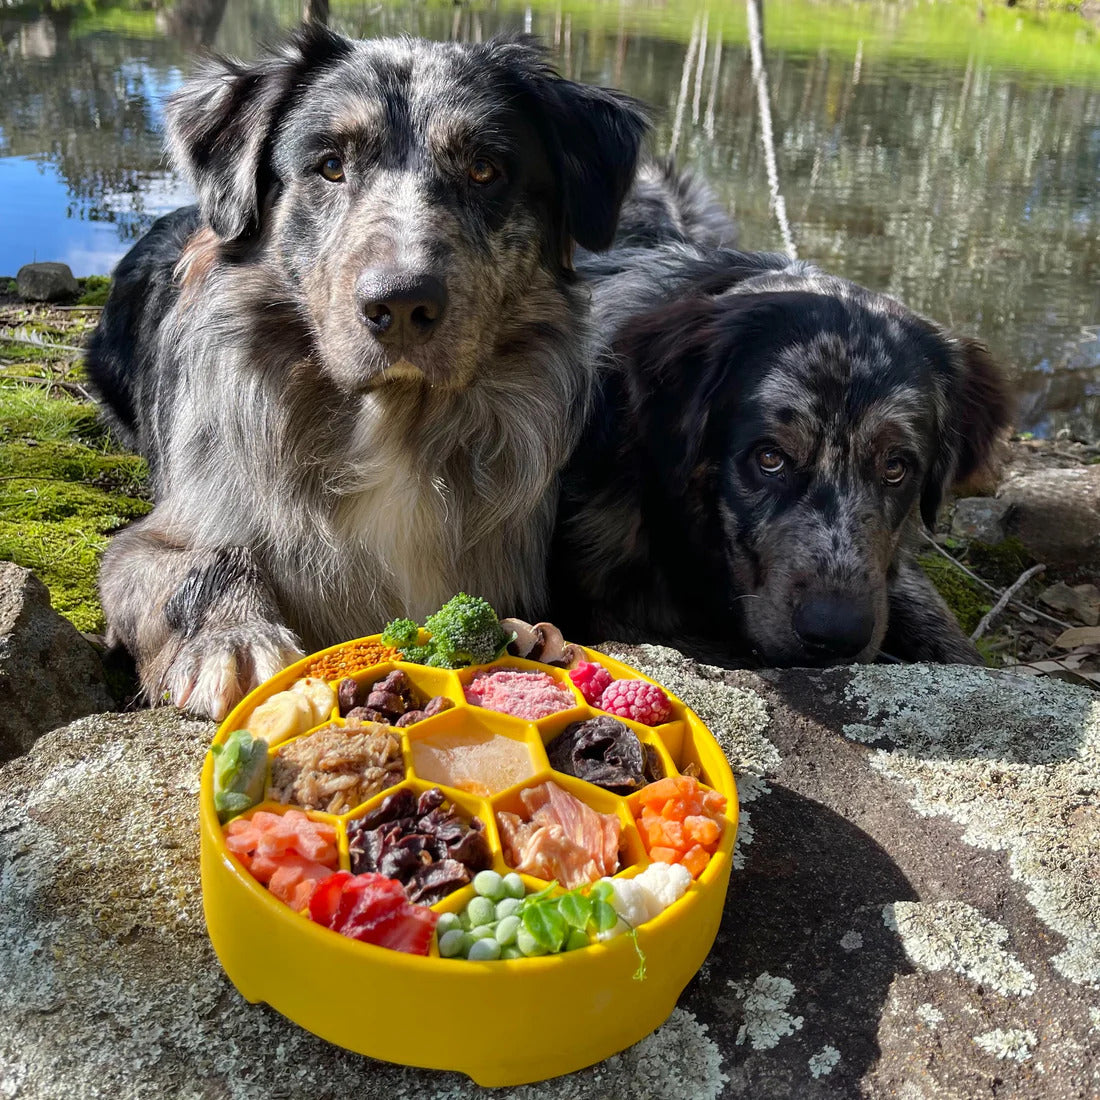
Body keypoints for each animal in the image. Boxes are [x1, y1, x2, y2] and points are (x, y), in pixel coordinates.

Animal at [92, 27, 651, 721]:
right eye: (331, 165)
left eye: (484, 170)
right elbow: (197, 558)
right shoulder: (147, 542)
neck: (391, 420)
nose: (403, 305)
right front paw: (235, 640)